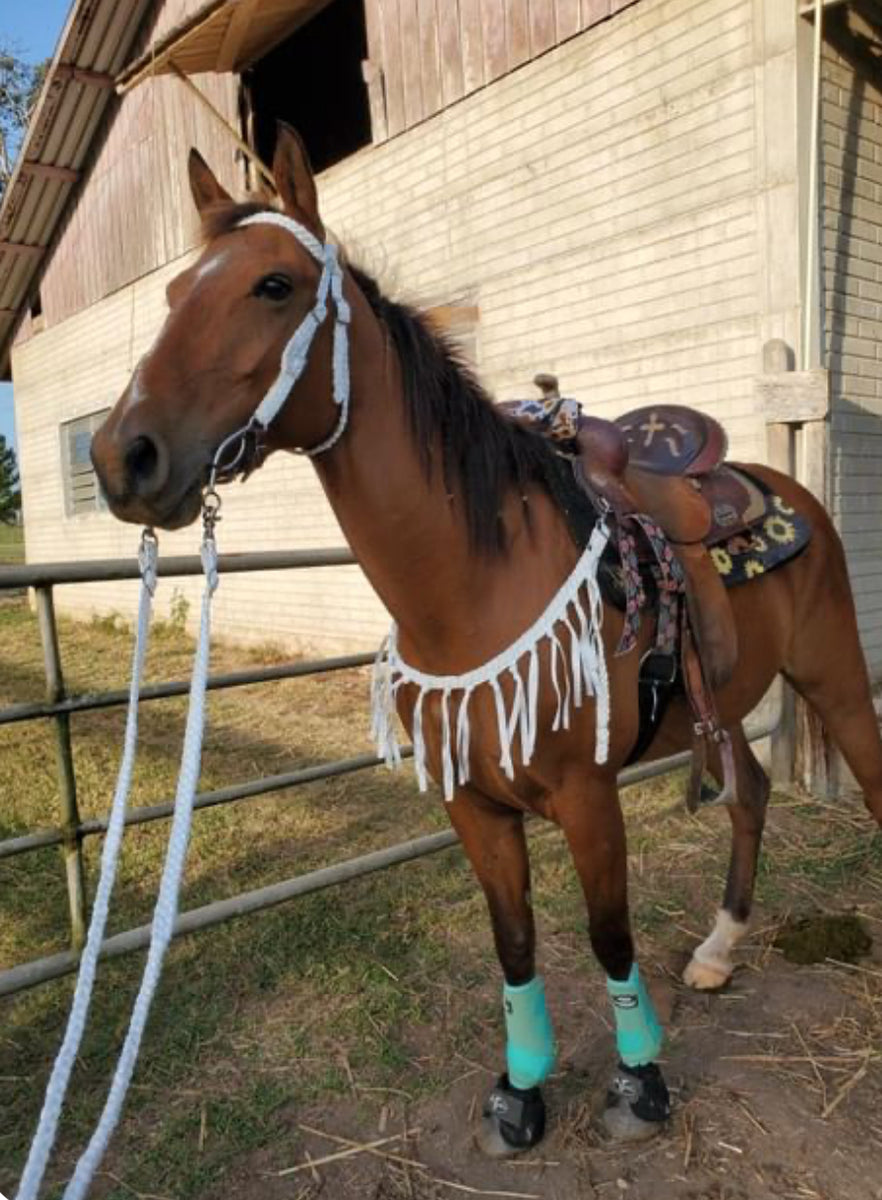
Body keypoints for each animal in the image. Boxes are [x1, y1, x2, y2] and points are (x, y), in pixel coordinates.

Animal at [90, 129, 882, 1152]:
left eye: (274, 285)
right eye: (175, 295)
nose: (122, 458)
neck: (472, 585)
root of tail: (778, 485)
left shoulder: (589, 798)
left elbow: (608, 934)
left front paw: (640, 1084)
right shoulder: (473, 805)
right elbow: (514, 943)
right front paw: (524, 1090)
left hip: (833, 675)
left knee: (866, 776)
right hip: (726, 707)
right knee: (747, 793)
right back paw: (717, 948)